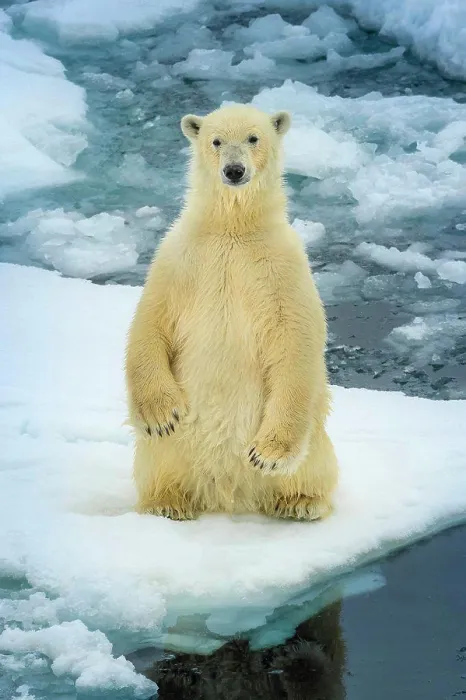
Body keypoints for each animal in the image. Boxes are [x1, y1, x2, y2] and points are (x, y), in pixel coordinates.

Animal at [125, 104, 338, 521]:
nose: (234, 170)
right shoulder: (178, 259)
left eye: (253, 138)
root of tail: (229, 495)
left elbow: (296, 342)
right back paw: (168, 502)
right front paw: (162, 416)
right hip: (171, 453)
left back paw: (300, 502)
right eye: (216, 140)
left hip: (315, 442)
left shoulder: (283, 268)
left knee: (315, 461)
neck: (232, 229)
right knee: (158, 459)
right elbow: (150, 323)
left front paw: (267, 455)